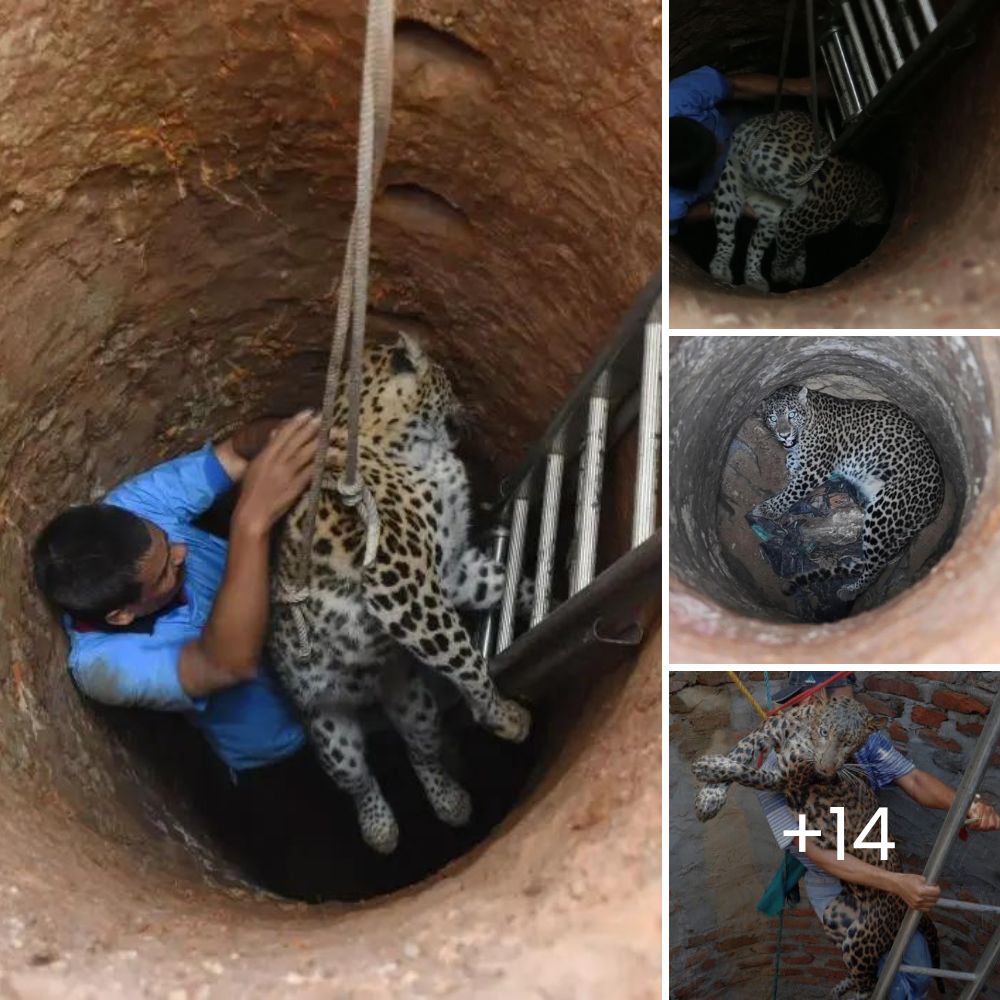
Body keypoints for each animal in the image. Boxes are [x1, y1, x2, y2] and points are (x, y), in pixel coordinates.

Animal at [266, 332, 532, 856]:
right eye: (446, 378)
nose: (464, 405)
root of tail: (367, 692)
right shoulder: (400, 582)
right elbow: (465, 658)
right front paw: (500, 713)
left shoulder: (446, 571)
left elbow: (493, 582)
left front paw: (531, 586)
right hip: (328, 727)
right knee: (358, 779)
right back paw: (380, 830)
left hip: (411, 698)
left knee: (421, 750)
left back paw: (451, 802)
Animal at [692, 696, 940, 1000]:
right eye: (824, 732)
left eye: (850, 743)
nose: (827, 767)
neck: (801, 730)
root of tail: (904, 908)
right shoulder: (765, 736)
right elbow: (740, 752)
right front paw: (709, 797)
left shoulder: (786, 779)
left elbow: (748, 772)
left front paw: (708, 767)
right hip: (835, 916)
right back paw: (839, 988)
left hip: (862, 939)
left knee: (870, 983)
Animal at [708, 113, 888, 294]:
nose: (862, 225)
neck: (863, 193)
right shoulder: (795, 224)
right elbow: (786, 251)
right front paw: (780, 271)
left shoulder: (793, 223)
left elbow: (798, 248)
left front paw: (797, 268)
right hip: (770, 167)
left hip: (738, 188)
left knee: (741, 240)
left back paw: (748, 275)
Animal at [752, 382, 944, 600]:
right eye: (773, 418)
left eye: (791, 414)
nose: (783, 434)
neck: (809, 419)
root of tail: (937, 502)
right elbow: (791, 471)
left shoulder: (815, 469)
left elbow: (792, 491)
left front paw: (767, 509)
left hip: (883, 510)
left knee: (876, 567)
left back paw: (850, 591)